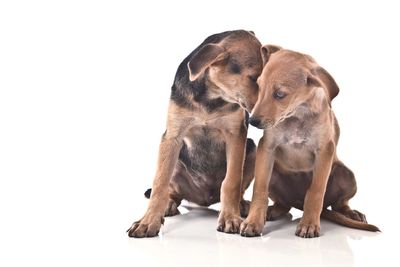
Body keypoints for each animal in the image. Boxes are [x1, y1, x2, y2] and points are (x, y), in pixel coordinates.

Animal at [126, 30, 264, 238]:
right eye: (254, 78)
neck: (212, 96)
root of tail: (203, 199)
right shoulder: (172, 136)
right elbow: (160, 183)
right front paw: (148, 221)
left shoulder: (236, 135)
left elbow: (231, 181)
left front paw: (229, 217)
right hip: (177, 163)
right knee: (173, 191)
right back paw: (169, 204)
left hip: (251, 149)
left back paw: (241, 205)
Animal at [239, 45, 380, 239]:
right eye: (259, 87)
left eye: (280, 94)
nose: (252, 121)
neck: (298, 114)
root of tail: (297, 201)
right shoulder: (267, 147)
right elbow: (259, 189)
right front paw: (253, 222)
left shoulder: (324, 151)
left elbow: (315, 191)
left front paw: (309, 224)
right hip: (274, 174)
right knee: (284, 204)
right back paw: (272, 211)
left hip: (346, 174)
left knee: (338, 204)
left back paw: (351, 213)